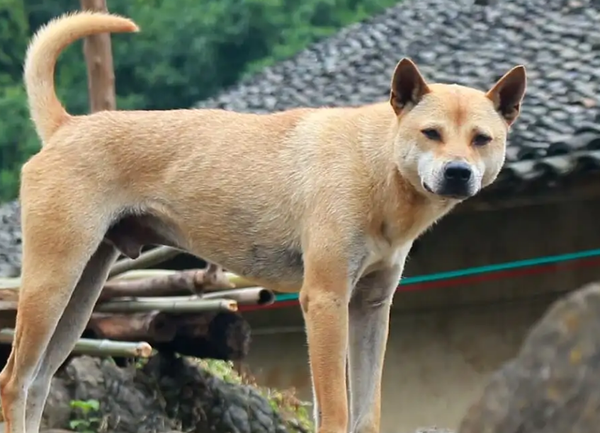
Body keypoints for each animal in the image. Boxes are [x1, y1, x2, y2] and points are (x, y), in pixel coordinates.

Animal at [0, 10, 524, 432]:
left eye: (482, 139)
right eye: (430, 133)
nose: (457, 173)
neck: (376, 163)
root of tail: (66, 127)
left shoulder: (372, 307)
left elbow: (367, 411)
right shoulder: (325, 300)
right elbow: (335, 410)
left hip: (82, 292)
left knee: (38, 382)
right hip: (53, 281)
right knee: (13, 380)